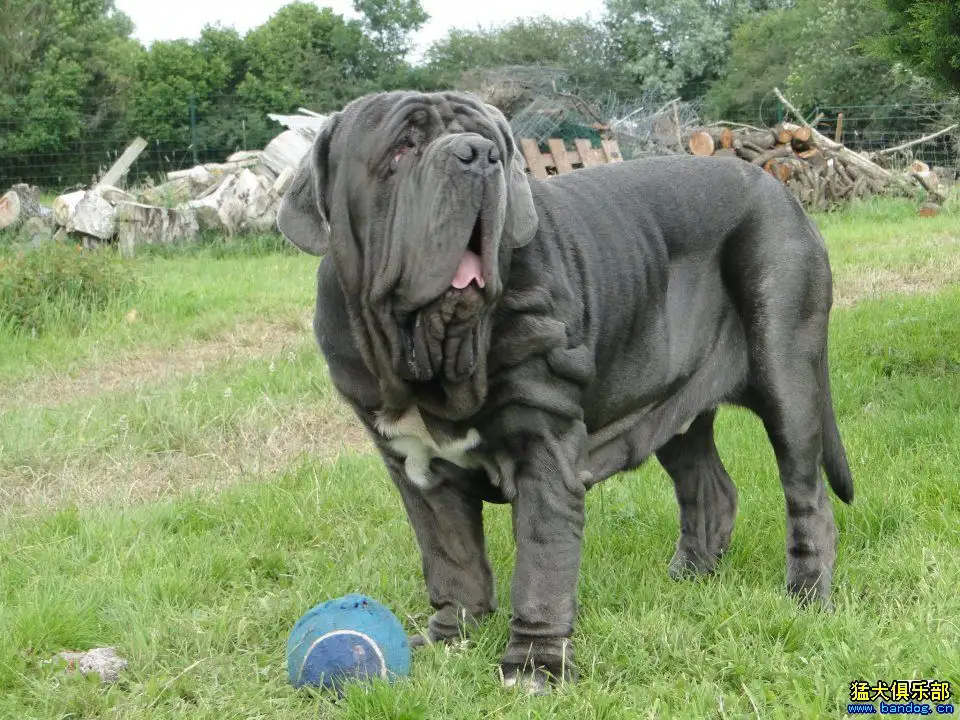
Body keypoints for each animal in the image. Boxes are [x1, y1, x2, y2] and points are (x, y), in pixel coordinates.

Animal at [274, 91, 852, 692]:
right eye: (401, 148)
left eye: (494, 145)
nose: (478, 156)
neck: (436, 352)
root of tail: (783, 194)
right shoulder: (417, 470)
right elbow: (450, 558)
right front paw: (452, 635)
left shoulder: (544, 449)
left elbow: (542, 562)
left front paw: (533, 664)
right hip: (673, 410)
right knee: (709, 490)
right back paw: (687, 578)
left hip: (787, 372)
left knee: (807, 496)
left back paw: (806, 595)